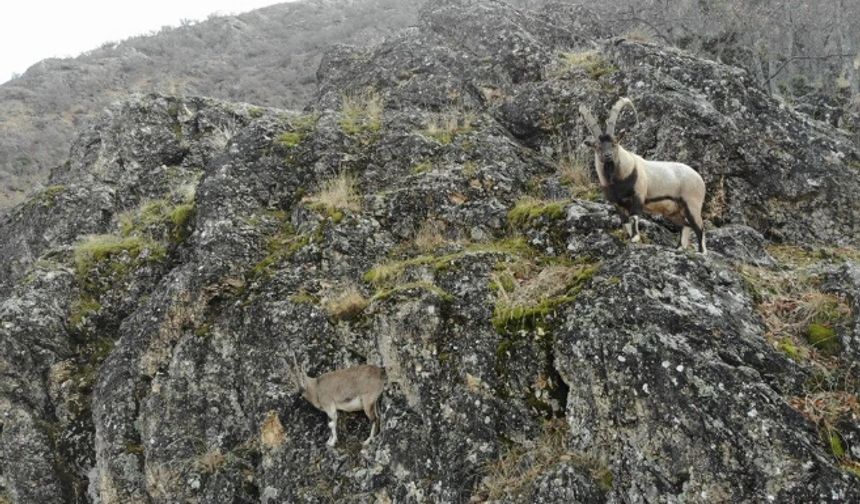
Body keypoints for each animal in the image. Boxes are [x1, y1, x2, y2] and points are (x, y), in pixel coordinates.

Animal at [580, 98, 708, 254]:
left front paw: (635, 238)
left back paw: (702, 252)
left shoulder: (638, 196)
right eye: (597, 146)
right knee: (685, 225)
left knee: (699, 227)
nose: (608, 155)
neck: (618, 179)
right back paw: (679, 248)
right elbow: (625, 222)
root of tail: (699, 178)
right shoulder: (617, 204)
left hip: (692, 204)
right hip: (674, 212)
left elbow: (634, 217)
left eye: (615, 143)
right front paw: (630, 238)